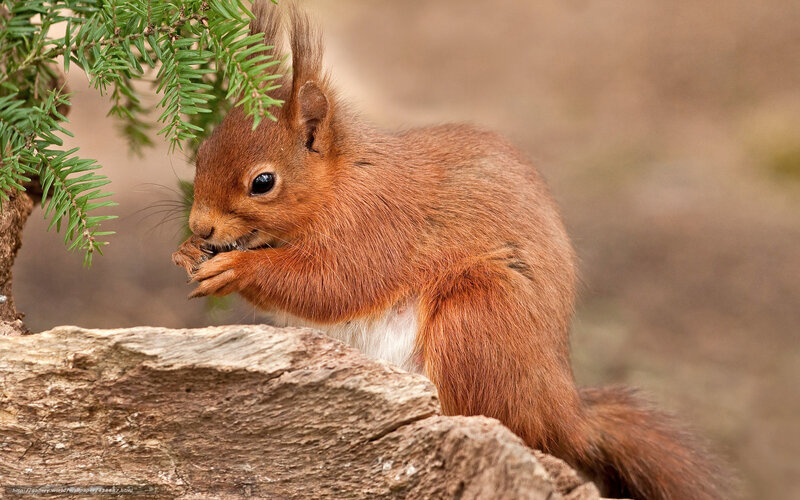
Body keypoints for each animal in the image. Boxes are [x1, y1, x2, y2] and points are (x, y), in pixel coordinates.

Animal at [172, 2, 724, 498]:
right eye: (201, 154)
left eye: (263, 182)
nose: (200, 226)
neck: (342, 180)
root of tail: (563, 410)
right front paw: (186, 251)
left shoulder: (379, 225)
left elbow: (332, 283)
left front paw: (236, 269)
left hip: (477, 318)